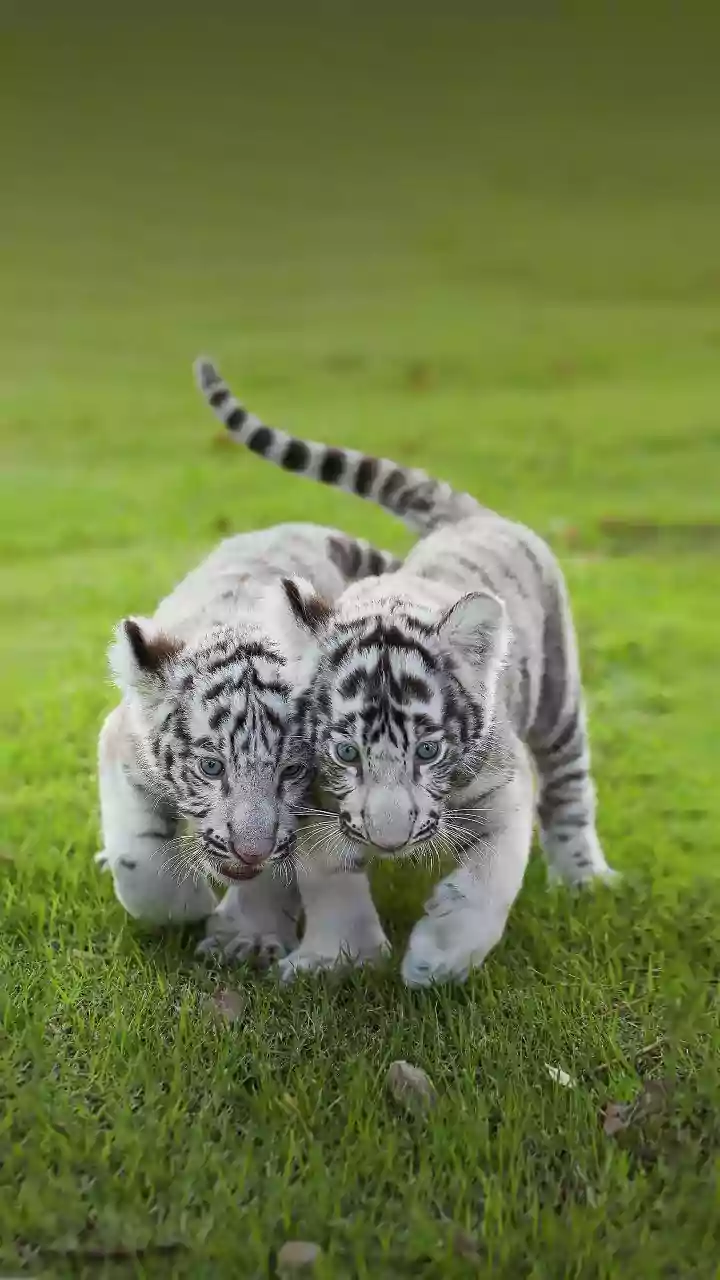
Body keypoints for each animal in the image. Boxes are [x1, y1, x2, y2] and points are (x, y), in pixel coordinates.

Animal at [97, 519, 400, 966]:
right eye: (211, 767)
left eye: (291, 770)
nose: (251, 852)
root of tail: (304, 528)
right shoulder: (124, 749)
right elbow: (142, 861)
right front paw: (187, 905)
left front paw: (249, 938)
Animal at [196, 357, 617, 987]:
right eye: (347, 752)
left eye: (429, 751)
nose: (388, 840)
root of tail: (470, 516)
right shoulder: (311, 798)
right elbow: (329, 877)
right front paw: (334, 957)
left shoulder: (506, 783)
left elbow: (490, 878)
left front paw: (438, 959)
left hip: (557, 701)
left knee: (570, 787)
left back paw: (585, 877)